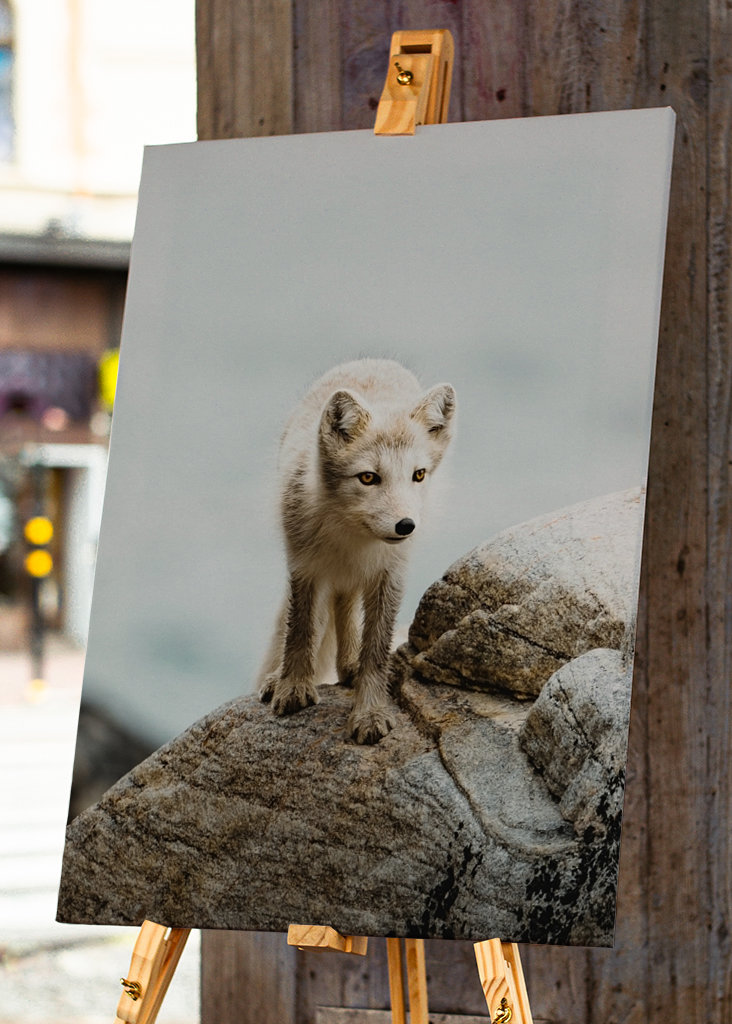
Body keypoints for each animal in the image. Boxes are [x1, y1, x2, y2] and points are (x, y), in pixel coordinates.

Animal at [257, 358, 456, 744]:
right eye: (368, 477)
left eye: (418, 475)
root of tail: (375, 360)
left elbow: (376, 650)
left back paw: (349, 666)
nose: (405, 526)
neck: (352, 536)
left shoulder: (389, 574)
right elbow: (300, 629)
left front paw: (370, 713)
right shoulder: (304, 566)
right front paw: (292, 687)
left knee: (347, 607)